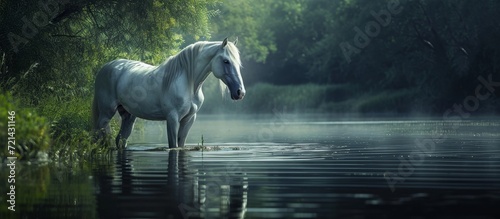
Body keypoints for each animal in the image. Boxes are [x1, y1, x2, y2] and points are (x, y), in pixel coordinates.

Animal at [93, 39, 245, 149]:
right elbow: (173, 146)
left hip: (128, 116)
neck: (188, 82)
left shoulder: (189, 119)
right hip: (107, 112)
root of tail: (106, 67)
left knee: (121, 139)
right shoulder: (172, 118)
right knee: (101, 131)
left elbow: (180, 145)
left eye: (238, 63)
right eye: (226, 61)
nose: (240, 92)